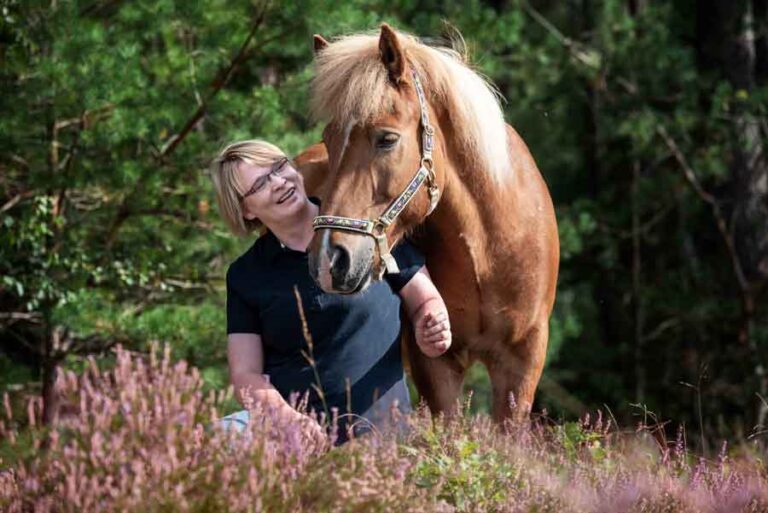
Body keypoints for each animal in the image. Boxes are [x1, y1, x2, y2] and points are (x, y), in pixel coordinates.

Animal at [297, 24, 559, 423]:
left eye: (387, 139)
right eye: (329, 139)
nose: (330, 259)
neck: (486, 252)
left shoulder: (522, 361)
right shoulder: (435, 364)